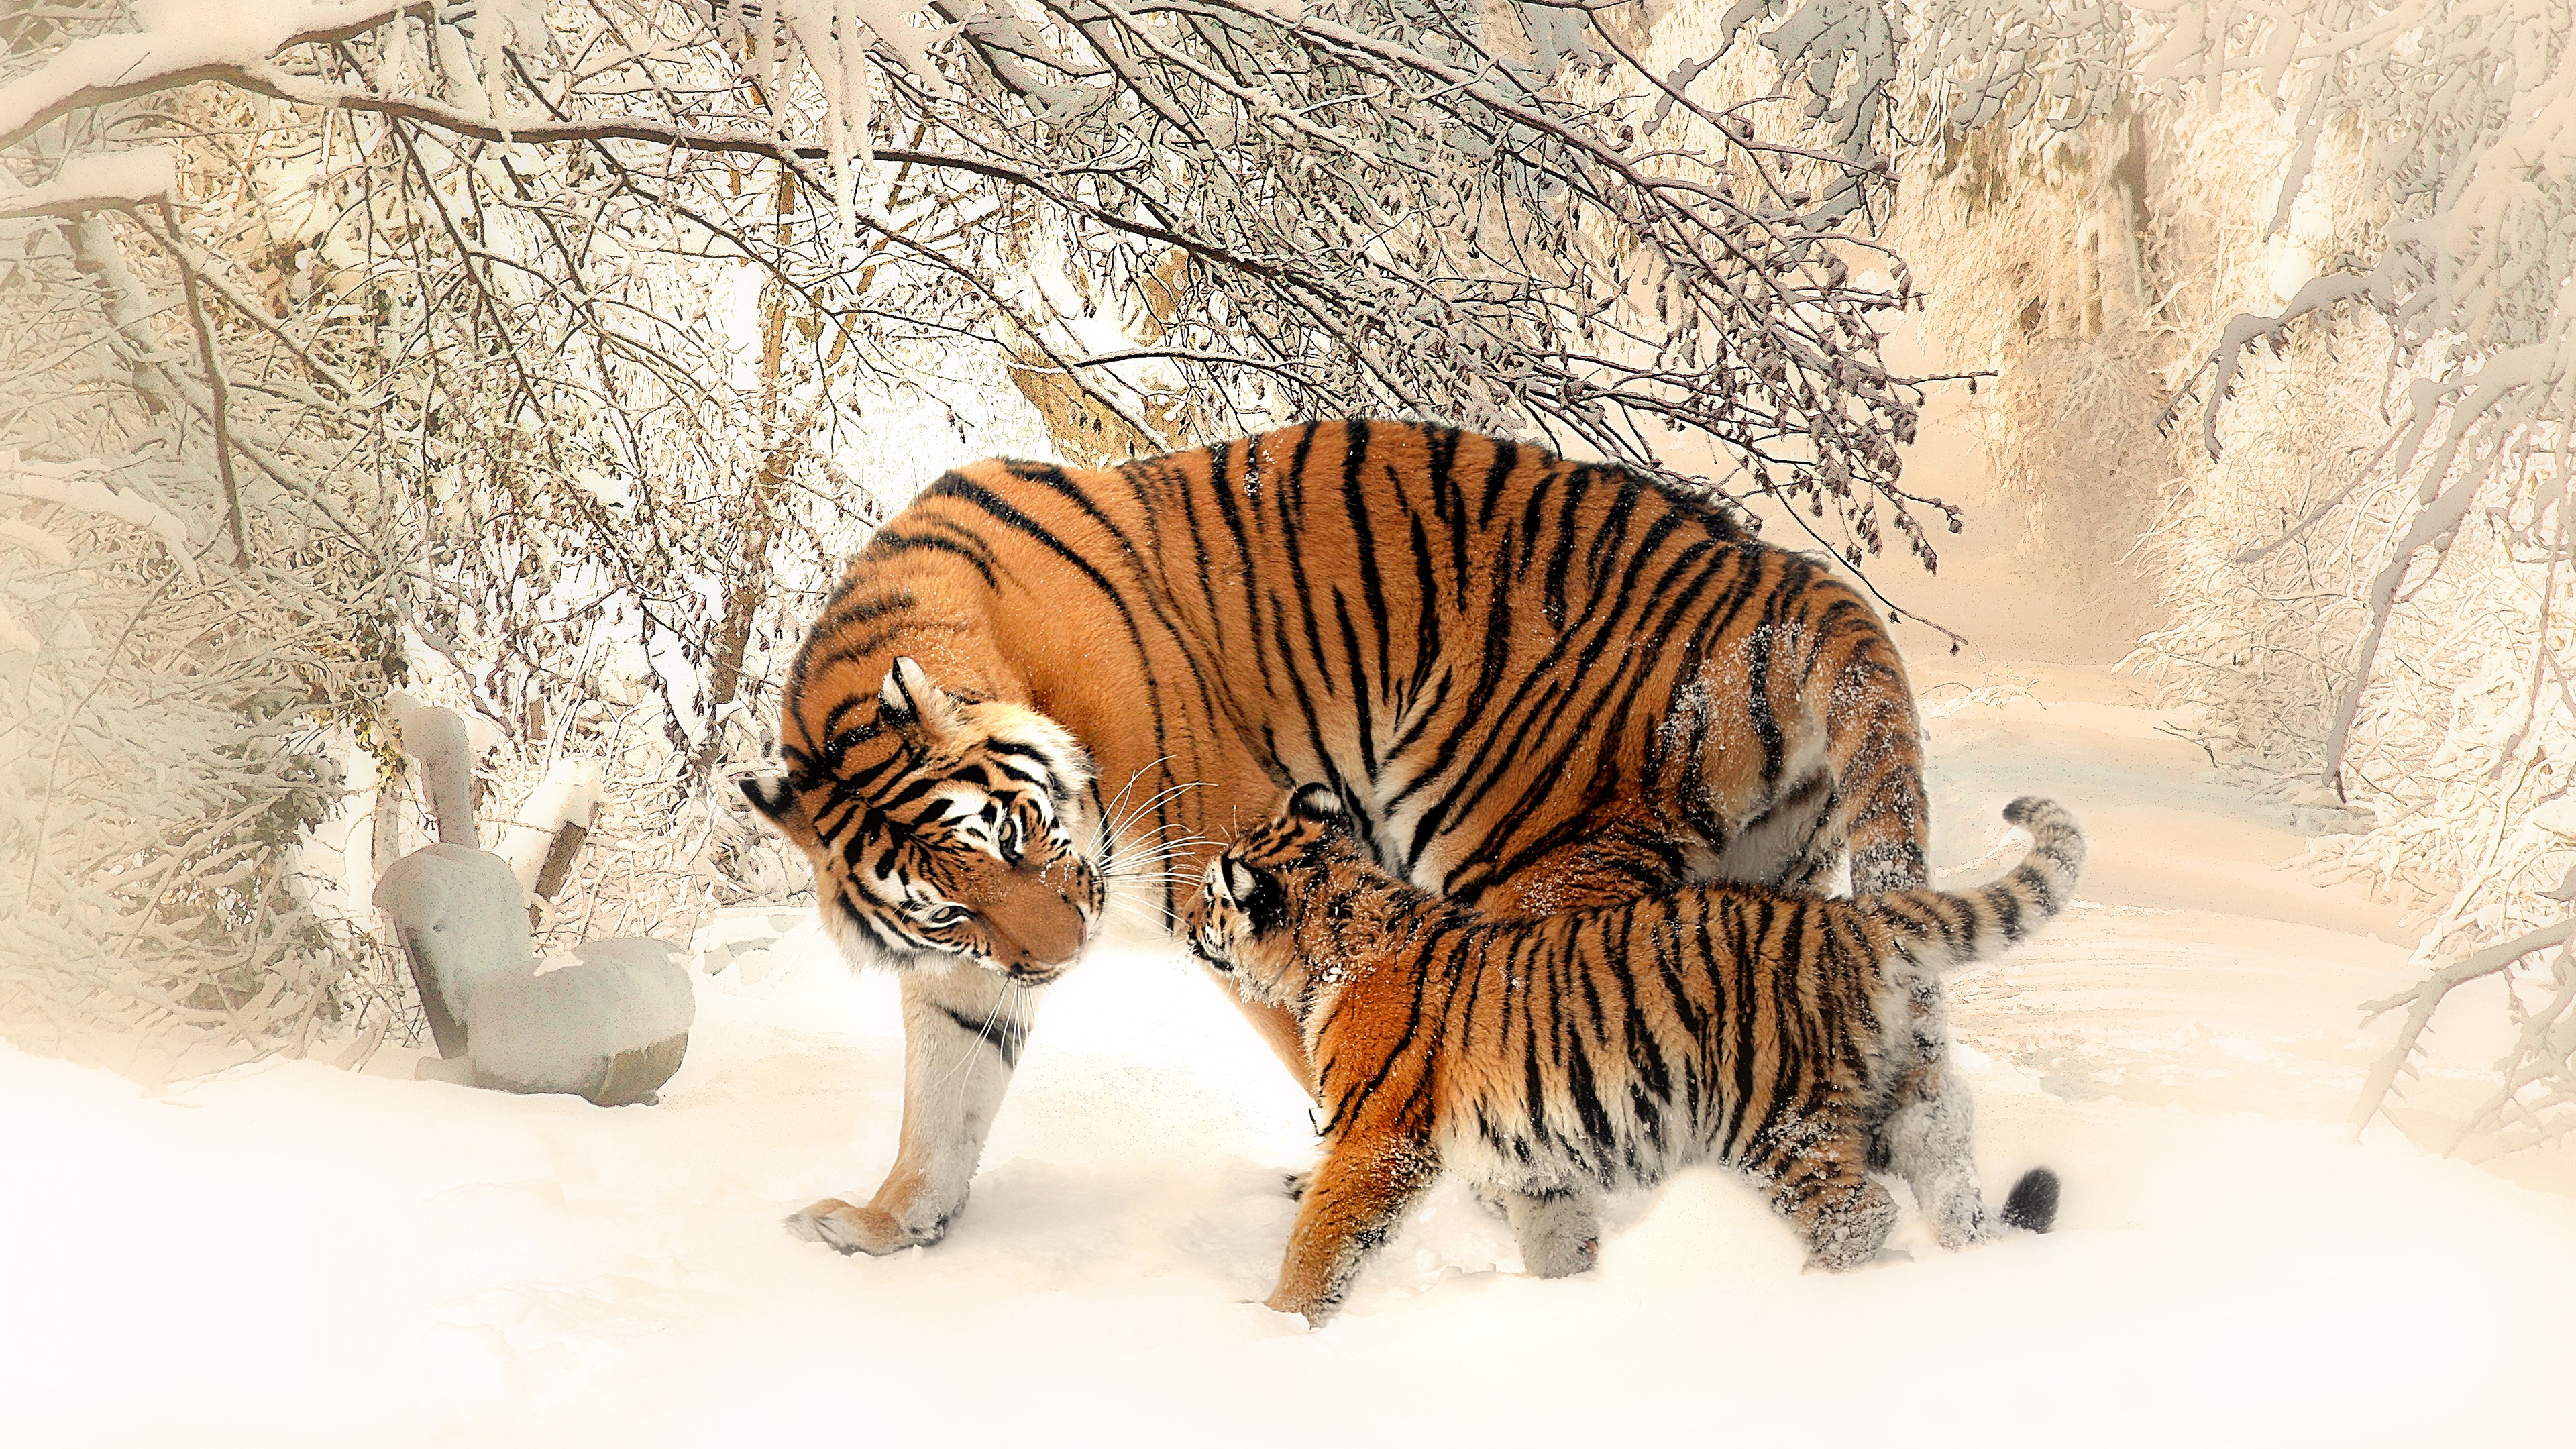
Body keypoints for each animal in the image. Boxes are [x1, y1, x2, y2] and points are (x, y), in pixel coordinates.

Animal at [743, 418, 1940, 1261]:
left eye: (1024, 836)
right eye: (951, 906)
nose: (1061, 959)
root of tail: (1785, 577)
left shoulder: (1236, 864)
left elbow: (1327, 1048)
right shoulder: (966, 971)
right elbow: (943, 1100)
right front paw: (887, 1225)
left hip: (1522, 859)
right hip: (1759, 884)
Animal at [1183, 784, 2080, 1325]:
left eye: (1212, 896)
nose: (1184, 923)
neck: (1336, 938)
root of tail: (1850, 918)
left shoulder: (1375, 1142)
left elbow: (1320, 1241)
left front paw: (1276, 1328)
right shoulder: (1534, 1161)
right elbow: (1556, 1238)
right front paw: (1572, 1304)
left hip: (1776, 1119)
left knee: (1859, 1214)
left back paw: (1809, 1295)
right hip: (1898, 1097)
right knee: (1946, 1169)